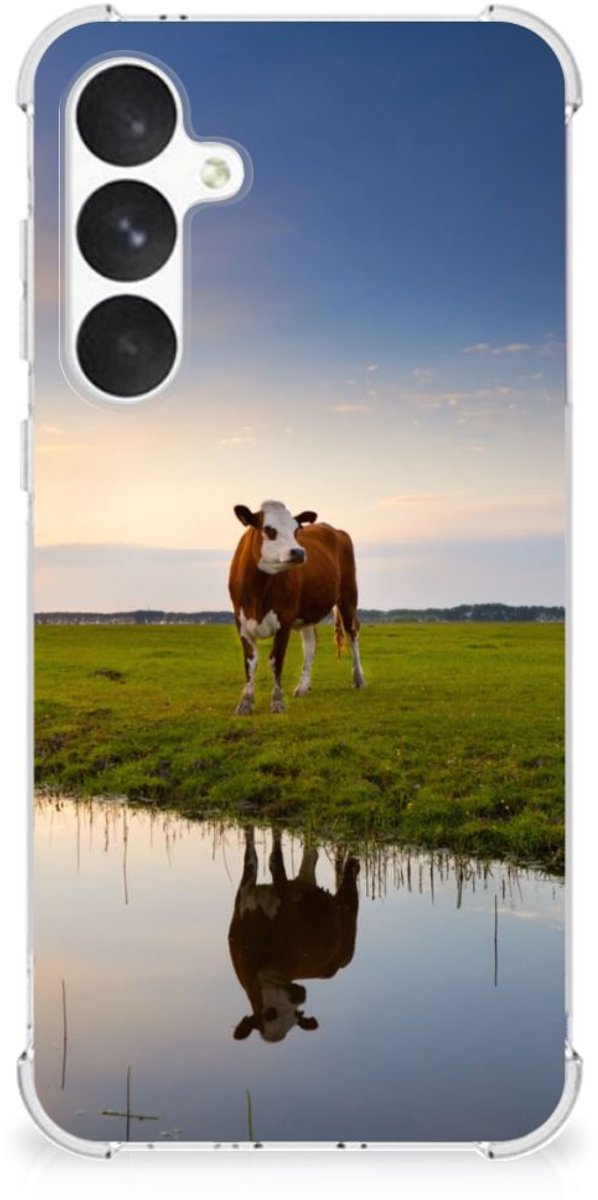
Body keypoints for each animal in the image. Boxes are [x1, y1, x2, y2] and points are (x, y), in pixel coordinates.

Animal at [228, 499, 365, 715]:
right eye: (268, 529)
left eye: (296, 530)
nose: (299, 552)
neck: (257, 591)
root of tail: (334, 529)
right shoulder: (241, 622)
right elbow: (250, 662)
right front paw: (245, 702)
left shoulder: (284, 620)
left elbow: (276, 660)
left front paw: (277, 702)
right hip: (307, 613)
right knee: (310, 643)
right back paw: (302, 687)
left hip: (348, 596)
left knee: (352, 633)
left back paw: (358, 679)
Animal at [228, 827, 360, 1043]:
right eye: (269, 1013)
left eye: (296, 1015)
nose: (300, 995)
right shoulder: (244, 895)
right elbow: (251, 855)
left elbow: (274, 859)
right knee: (311, 855)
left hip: (348, 932)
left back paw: (353, 865)